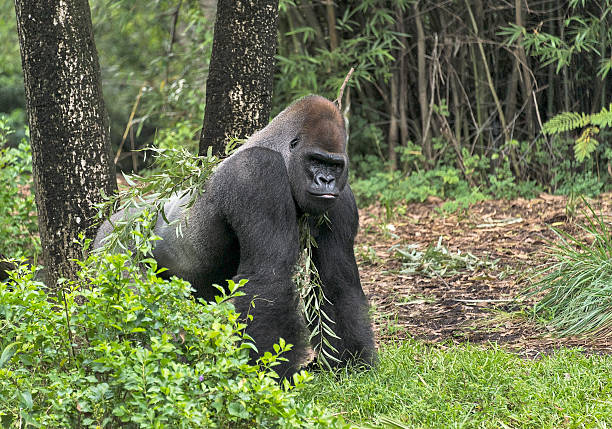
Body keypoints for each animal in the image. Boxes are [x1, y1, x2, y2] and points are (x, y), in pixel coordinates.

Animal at [93, 95, 376, 376]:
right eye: (315, 160)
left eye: (334, 165)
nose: (325, 180)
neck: (281, 154)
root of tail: (113, 219)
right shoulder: (258, 173)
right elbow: (269, 276)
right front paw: (268, 370)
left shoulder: (342, 197)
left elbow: (336, 280)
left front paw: (351, 361)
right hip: (112, 250)